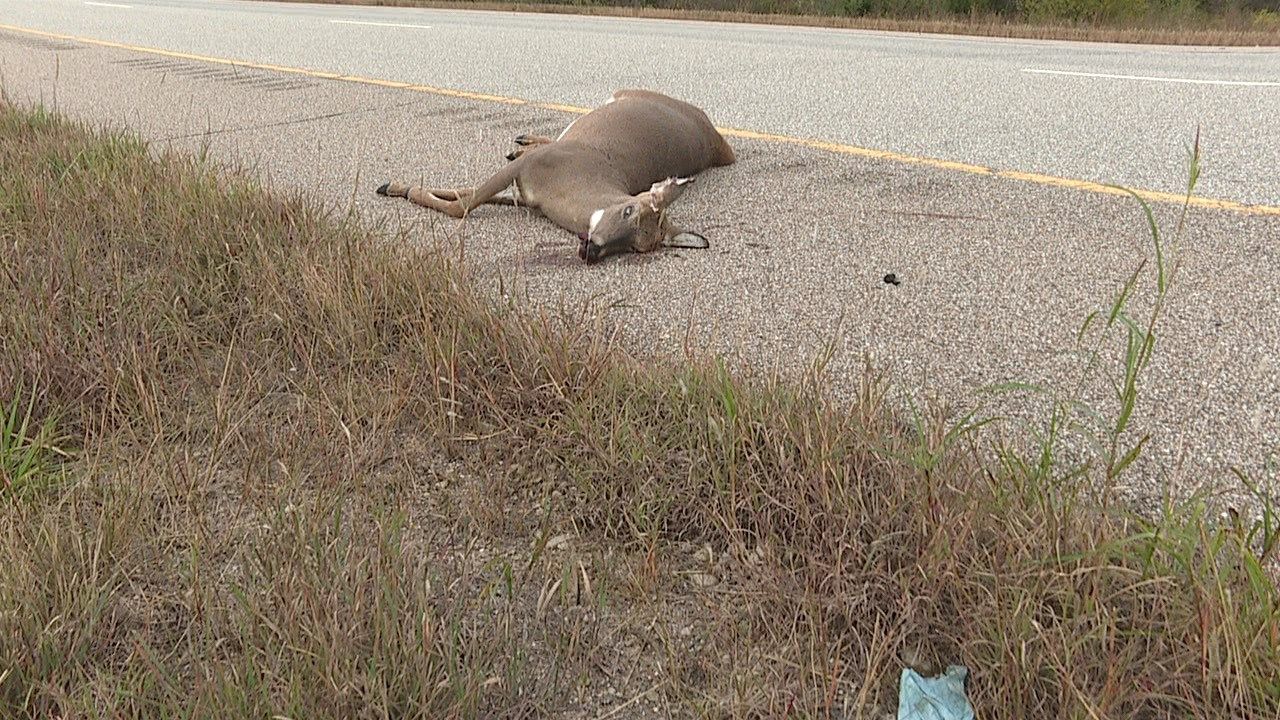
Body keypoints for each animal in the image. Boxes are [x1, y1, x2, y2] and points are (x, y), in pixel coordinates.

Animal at [376, 89, 736, 263]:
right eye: (628, 210)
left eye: (637, 248)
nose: (592, 251)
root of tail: (720, 143)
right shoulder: (527, 170)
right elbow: (462, 204)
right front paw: (398, 187)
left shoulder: (527, 197)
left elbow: (463, 194)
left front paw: (401, 187)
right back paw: (521, 141)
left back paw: (520, 142)